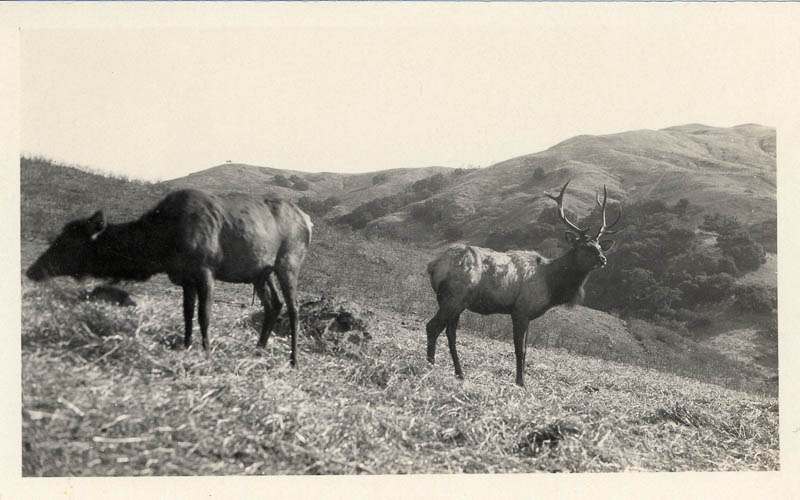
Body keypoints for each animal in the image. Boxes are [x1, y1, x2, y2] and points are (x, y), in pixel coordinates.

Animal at [25, 189, 312, 366]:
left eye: (67, 243)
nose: (32, 270)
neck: (161, 245)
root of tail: (308, 221)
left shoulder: (206, 269)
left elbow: (204, 315)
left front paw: (207, 351)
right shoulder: (184, 276)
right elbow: (187, 313)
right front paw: (186, 346)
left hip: (289, 261)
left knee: (294, 308)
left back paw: (294, 360)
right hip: (260, 272)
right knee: (273, 304)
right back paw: (258, 349)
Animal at [424, 180, 620, 386]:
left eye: (599, 246)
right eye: (583, 246)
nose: (603, 259)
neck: (551, 285)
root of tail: (434, 265)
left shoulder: (528, 314)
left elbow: (525, 350)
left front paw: (522, 380)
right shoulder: (521, 310)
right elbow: (521, 350)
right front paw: (521, 382)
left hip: (456, 302)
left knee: (450, 333)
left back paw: (459, 373)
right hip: (453, 297)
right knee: (432, 326)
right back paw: (430, 365)